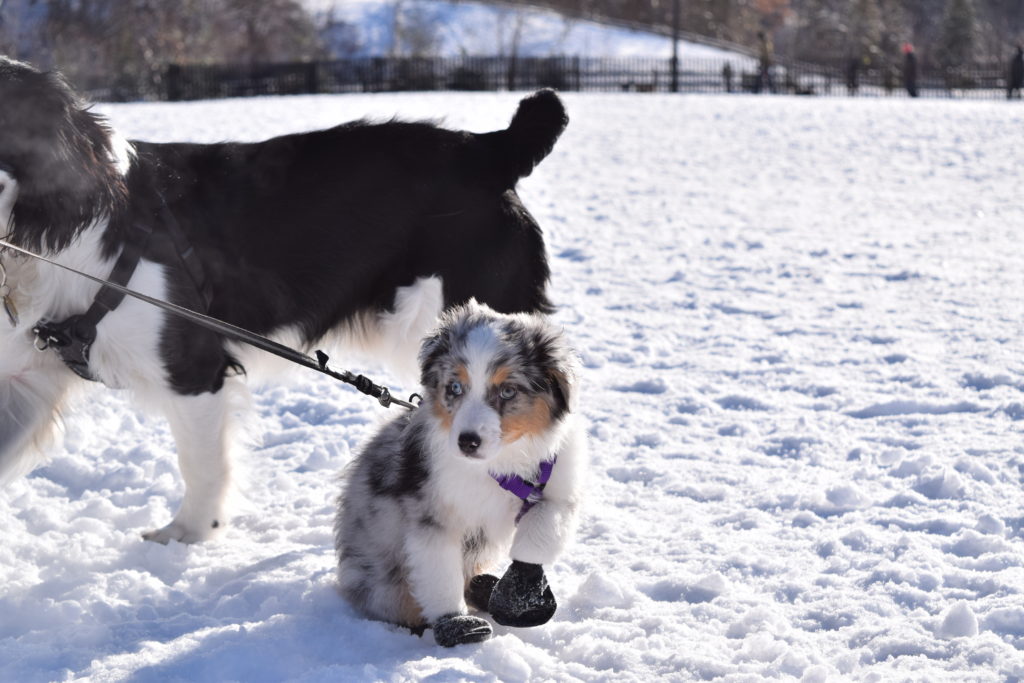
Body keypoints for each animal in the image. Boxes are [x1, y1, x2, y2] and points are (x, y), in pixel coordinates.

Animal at [331, 301, 581, 651]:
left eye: (507, 391)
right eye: (455, 387)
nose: (467, 441)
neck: (499, 466)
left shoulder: (558, 488)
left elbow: (541, 531)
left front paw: (517, 596)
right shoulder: (432, 515)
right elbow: (439, 573)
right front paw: (458, 625)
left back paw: (484, 587)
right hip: (379, 577)